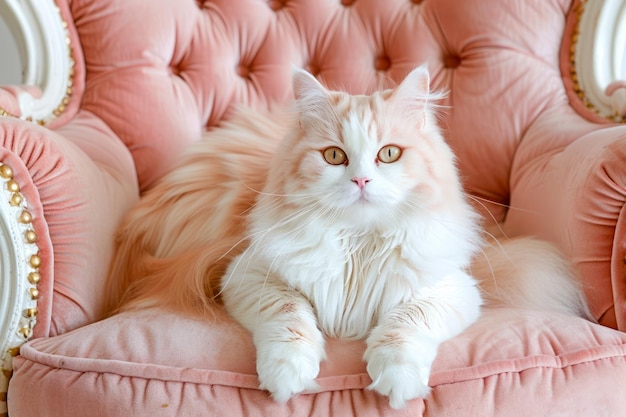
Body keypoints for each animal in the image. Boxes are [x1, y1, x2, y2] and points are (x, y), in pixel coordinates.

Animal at [106, 66, 588, 410]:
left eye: (388, 154)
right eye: (334, 156)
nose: (360, 180)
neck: (358, 241)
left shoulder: (449, 288)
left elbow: (405, 324)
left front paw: (397, 380)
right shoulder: (249, 276)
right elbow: (290, 319)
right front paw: (286, 376)